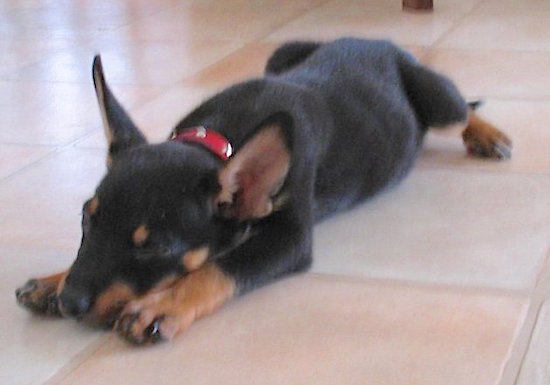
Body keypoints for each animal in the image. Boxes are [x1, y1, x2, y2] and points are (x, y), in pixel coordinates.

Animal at [14, 39, 512, 344]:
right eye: (86, 219)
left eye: (153, 246)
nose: (70, 303)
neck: (215, 140)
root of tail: (381, 42)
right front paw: (53, 280)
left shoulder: (288, 238)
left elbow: (220, 269)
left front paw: (159, 307)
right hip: (281, 52)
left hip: (434, 99)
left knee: (462, 107)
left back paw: (487, 135)